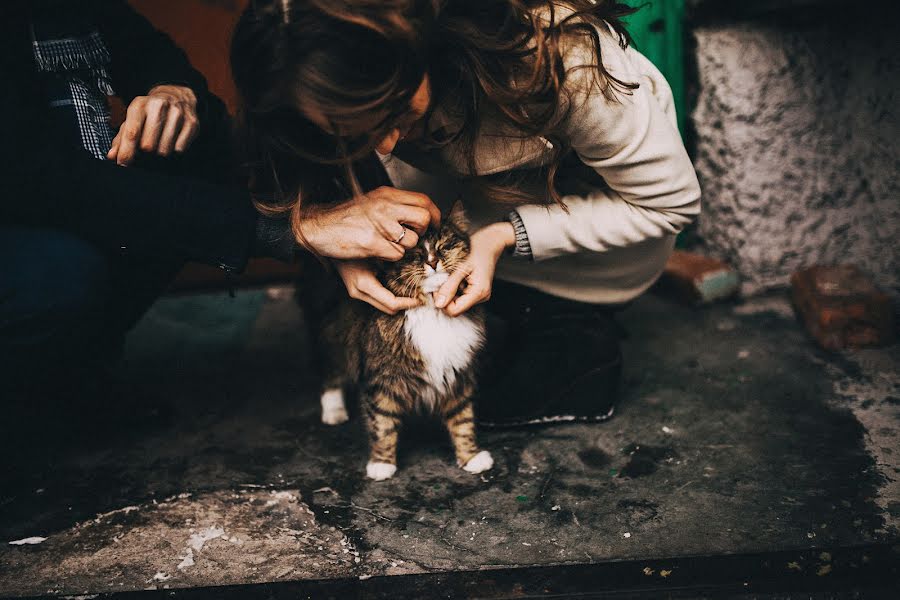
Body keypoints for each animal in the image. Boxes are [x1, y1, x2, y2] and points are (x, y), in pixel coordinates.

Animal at [320, 204, 496, 480]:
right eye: (414, 254)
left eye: (444, 246)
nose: (433, 262)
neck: (434, 311)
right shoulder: (382, 380)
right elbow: (382, 424)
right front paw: (381, 464)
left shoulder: (458, 375)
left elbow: (463, 420)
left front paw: (471, 457)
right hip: (339, 339)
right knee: (331, 373)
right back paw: (333, 412)